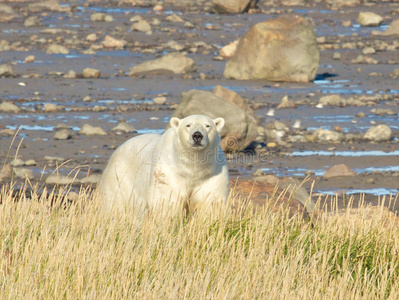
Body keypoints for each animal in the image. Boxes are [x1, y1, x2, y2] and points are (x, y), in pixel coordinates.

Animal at [98, 113, 230, 214]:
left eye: (208, 125)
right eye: (188, 125)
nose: (197, 135)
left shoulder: (211, 174)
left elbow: (210, 202)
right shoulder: (168, 173)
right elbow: (166, 200)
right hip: (120, 177)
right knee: (116, 202)